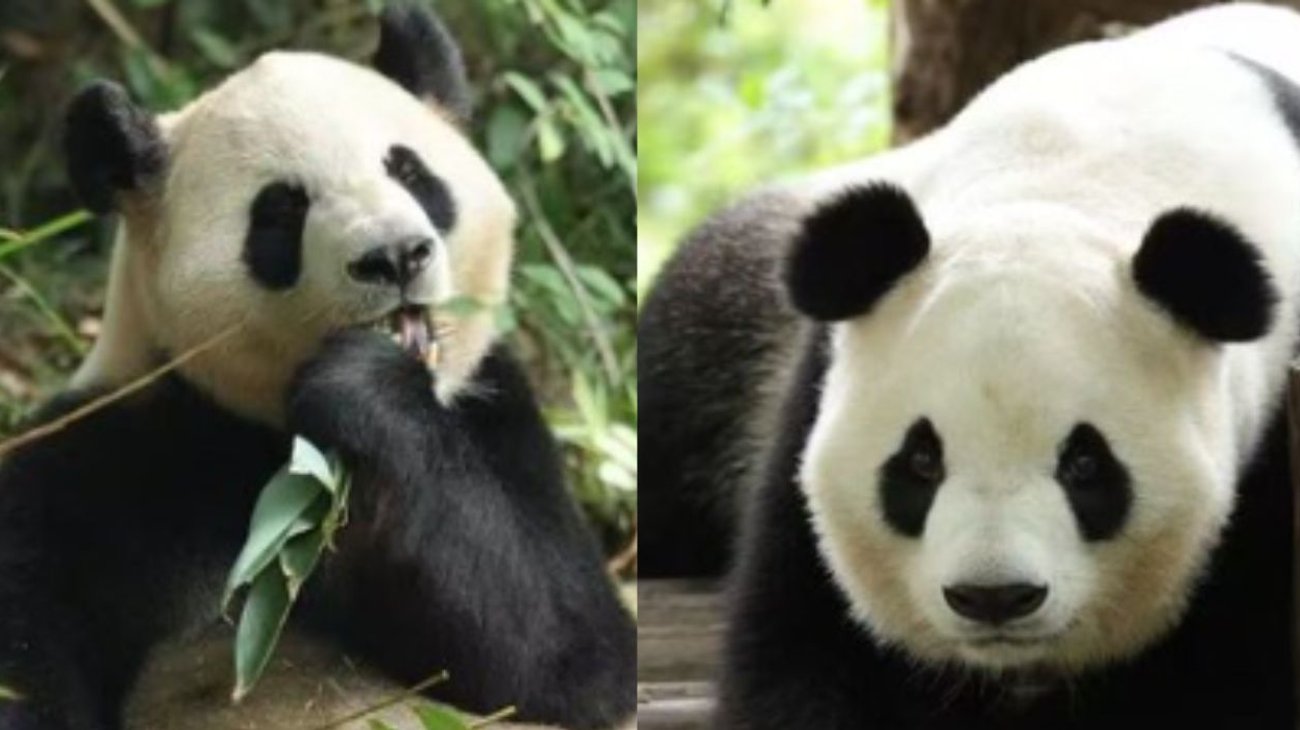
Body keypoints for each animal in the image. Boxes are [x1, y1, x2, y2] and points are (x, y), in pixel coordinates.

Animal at [0, 4, 634, 730]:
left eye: (408, 171)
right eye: (282, 208)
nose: (395, 256)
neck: (271, 437)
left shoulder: (492, 412)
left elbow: (561, 652)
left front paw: (367, 388)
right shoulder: (104, 452)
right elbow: (29, 648)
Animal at [640, 4, 1300, 727]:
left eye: (1085, 464)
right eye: (920, 461)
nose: (994, 597)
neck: (1064, 182)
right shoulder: (818, 382)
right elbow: (801, 640)